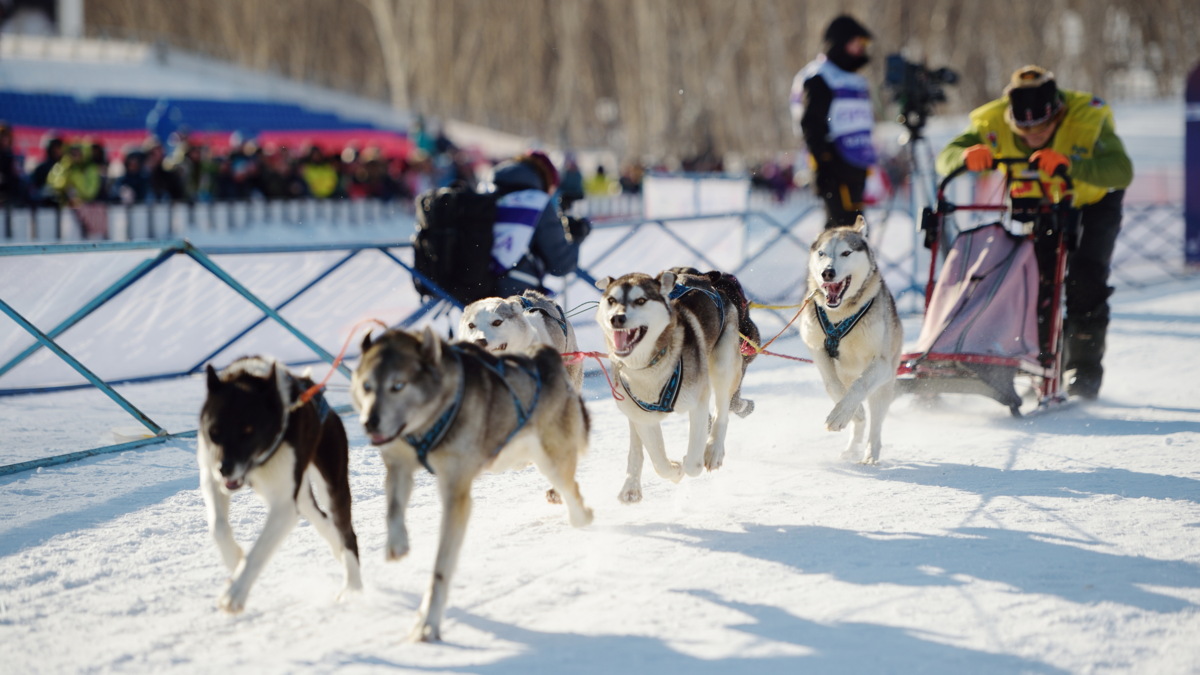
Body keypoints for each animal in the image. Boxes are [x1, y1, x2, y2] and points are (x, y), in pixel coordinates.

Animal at [198, 355, 360, 612]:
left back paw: (352, 588)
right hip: (300, 494)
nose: (224, 468)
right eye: (214, 431)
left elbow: (259, 550)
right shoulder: (211, 477)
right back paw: (337, 550)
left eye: (248, 430)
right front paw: (235, 560)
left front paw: (235, 593)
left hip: (332, 486)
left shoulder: (283, 506)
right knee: (321, 519)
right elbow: (218, 526)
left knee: (347, 533)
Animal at [350, 326, 592, 638]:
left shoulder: (455, 491)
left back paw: (582, 514)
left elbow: (441, 566)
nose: (369, 422)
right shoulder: (398, 465)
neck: (429, 423)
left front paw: (429, 621)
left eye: (398, 385)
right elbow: (392, 510)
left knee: (571, 490)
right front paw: (397, 543)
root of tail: (545, 354)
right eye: (367, 386)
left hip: (552, 459)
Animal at [592, 266, 753, 499]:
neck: (649, 367)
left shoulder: (698, 400)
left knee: (722, 411)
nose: (617, 318)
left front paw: (688, 462)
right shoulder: (643, 417)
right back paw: (631, 486)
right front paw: (674, 471)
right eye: (611, 300)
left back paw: (714, 450)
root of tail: (705, 278)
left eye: (640, 300)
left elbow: (693, 463)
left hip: (724, 363)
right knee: (636, 447)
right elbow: (658, 462)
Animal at [801, 214, 902, 461]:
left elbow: (859, 386)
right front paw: (852, 412)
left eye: (846, 253)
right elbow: (833, 387)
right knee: (858, 414)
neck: (841, 314)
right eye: (822, 253)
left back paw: (871, 452)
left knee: (876, 419)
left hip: (884, 385)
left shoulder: (882, 363)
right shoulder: (816, 347)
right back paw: (852, 445)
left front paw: (841, 414)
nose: (827, 272)